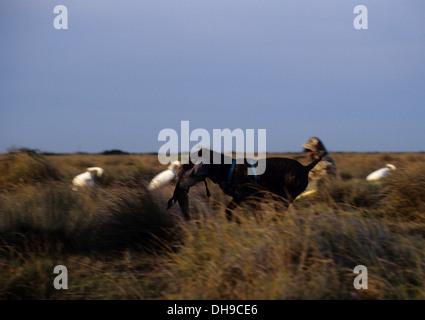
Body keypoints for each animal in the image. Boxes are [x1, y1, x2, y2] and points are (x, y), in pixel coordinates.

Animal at [166, 149, 322, 220]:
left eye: (191, 159)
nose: (181, 168)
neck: (225, 168)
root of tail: (305, 168)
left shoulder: (254, 198)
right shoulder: (238, 198)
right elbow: (228, 212)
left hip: (282, 198)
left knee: (278, 215)